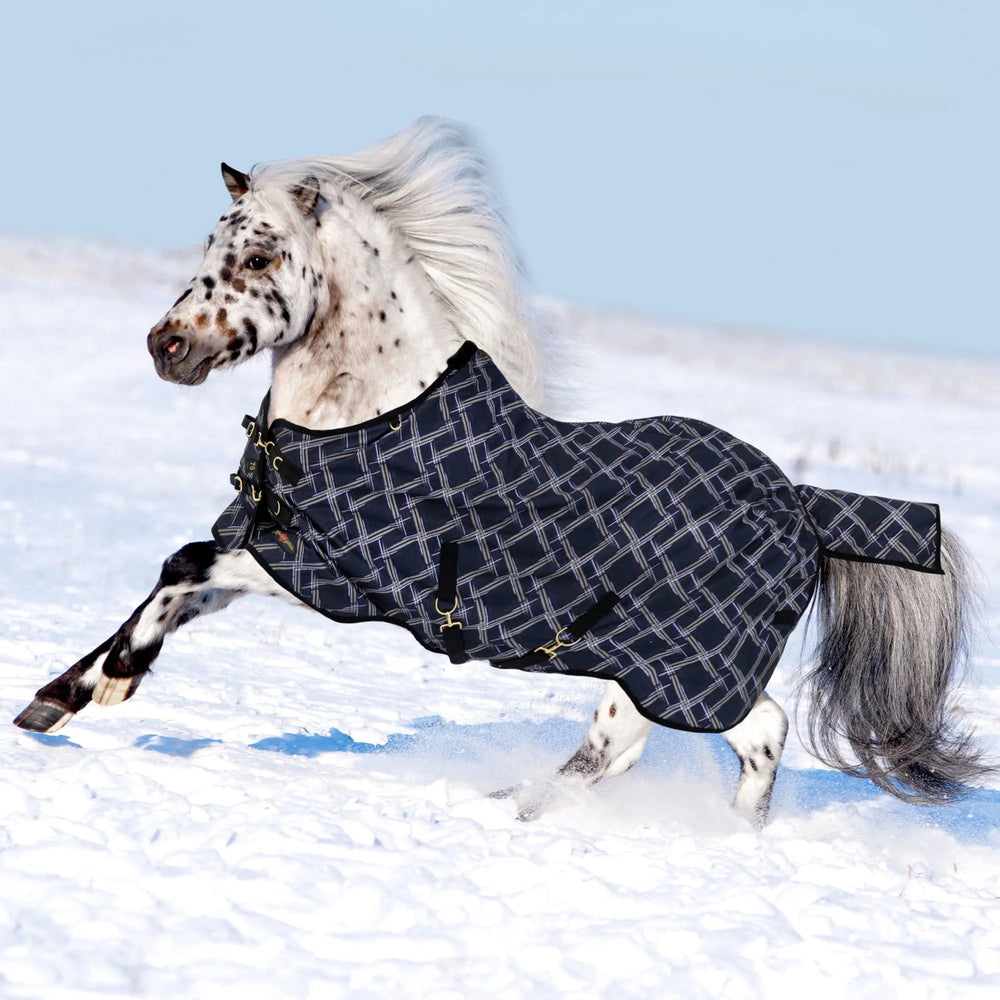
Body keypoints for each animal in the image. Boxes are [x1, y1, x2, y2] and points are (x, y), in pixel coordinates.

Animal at [14, 118, 987, 827]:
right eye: (209, 246)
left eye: (258, 256)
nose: (166, 348)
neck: (372, 410)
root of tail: (800, 500)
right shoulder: (270, 544)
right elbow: (176, 576)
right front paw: (57, 701)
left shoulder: (332, 571)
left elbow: (182, 569)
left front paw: (105, 685)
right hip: (663, 668)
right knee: (701, 741)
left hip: (675, 668)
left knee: (703, 739)